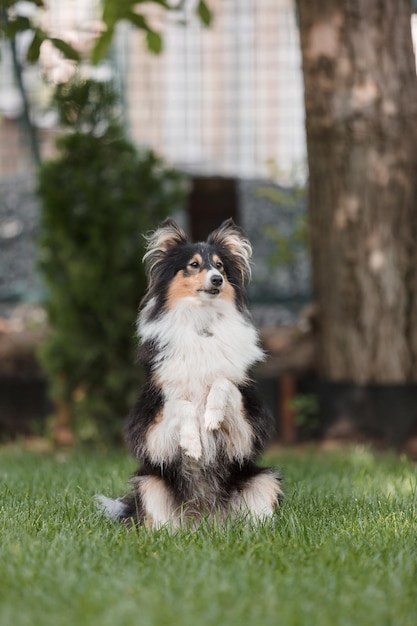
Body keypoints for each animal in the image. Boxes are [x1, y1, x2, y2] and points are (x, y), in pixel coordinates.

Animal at [98, 217, 282, 524]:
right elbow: (181, 405)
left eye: (220, 266)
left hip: (265, 479)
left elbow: (223, 383)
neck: (201, 322)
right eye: (194, 265)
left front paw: (211, 418)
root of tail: (204, 518)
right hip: (149, 484)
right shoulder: (153, 424)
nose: (217, 280)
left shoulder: (245, 429)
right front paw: (193, 444)